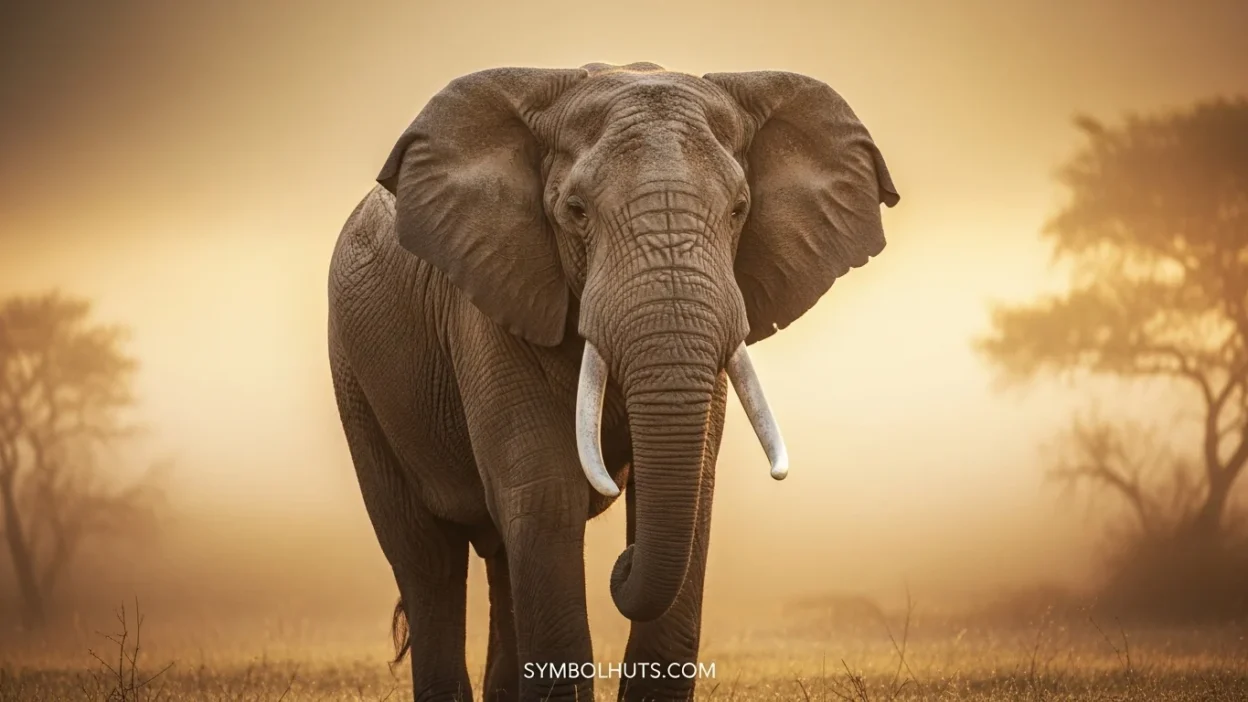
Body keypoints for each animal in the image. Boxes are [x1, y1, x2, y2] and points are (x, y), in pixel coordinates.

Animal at [327, 62, 898, 701]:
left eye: (739, 210)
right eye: (576, 210)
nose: (620, 565)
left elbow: (689, 497)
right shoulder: (490, 299)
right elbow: (546, 492)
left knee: (499, 557)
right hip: (355, 378)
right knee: (428, 559)